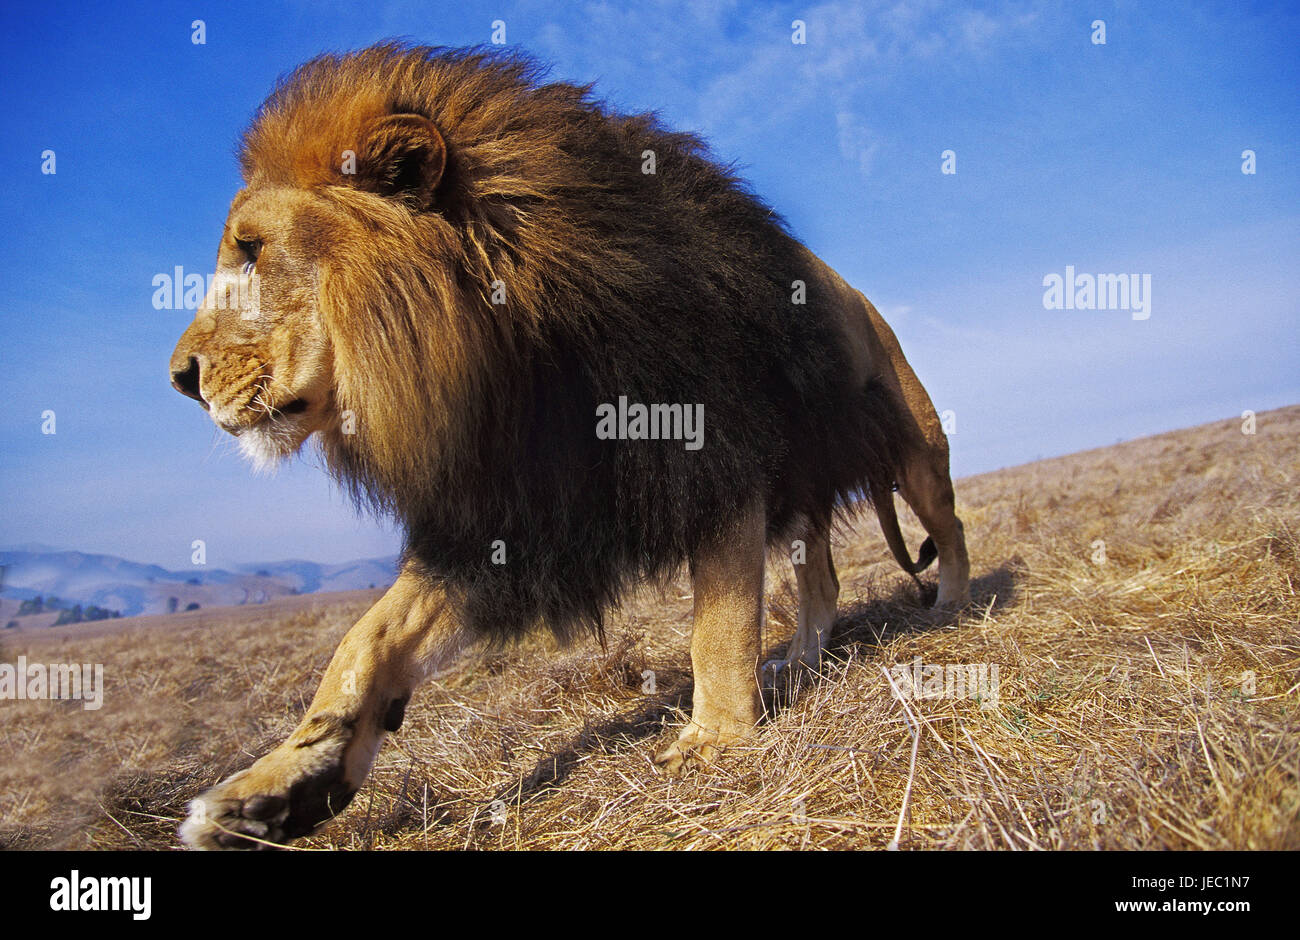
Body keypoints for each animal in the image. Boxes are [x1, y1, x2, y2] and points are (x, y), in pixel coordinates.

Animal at [170, 43, 970, 849]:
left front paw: (713, 741)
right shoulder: (509, 510)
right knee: (822, 580)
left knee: (950, 525)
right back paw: (801, 661)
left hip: (916, 450)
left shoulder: (714, 460)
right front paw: (274, 792)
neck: (513, 356)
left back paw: (950, 606)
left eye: (252, 252)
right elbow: (366, 641)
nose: (180, 379)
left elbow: (718, 626)